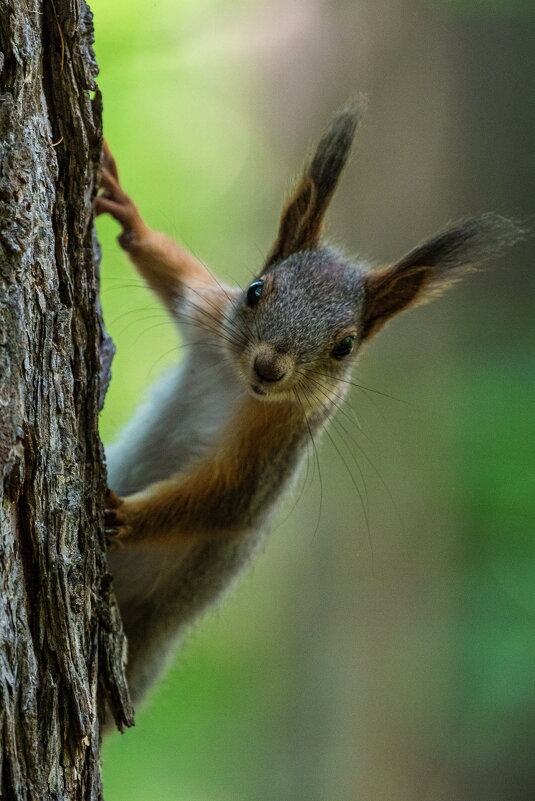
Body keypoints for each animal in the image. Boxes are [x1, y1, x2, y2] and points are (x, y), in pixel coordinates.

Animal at [95, 101, 520, 708]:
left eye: (345, 346)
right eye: (255, 291)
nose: (269, 367)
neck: (235, 382)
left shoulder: (278, 442)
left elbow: (227, 499)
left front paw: (124, 515)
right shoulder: (208, 313)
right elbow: (171, 269)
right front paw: (129, 215)